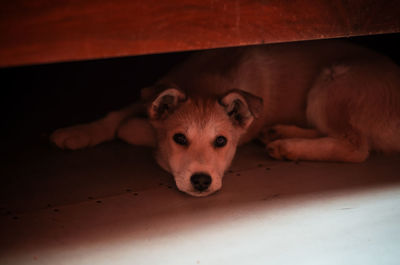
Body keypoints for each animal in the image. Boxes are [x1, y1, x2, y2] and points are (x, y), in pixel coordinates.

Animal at [50, 39, 400, 196]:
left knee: (356, 145)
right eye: (180, 138)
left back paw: (288, 146)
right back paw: (279, 134)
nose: (201, 181)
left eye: (221, 141)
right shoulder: (152, 91)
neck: (204, 84)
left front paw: (137, 129)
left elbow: (132, 128)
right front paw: (77, 132)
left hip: (332, 84)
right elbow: (116, 116)